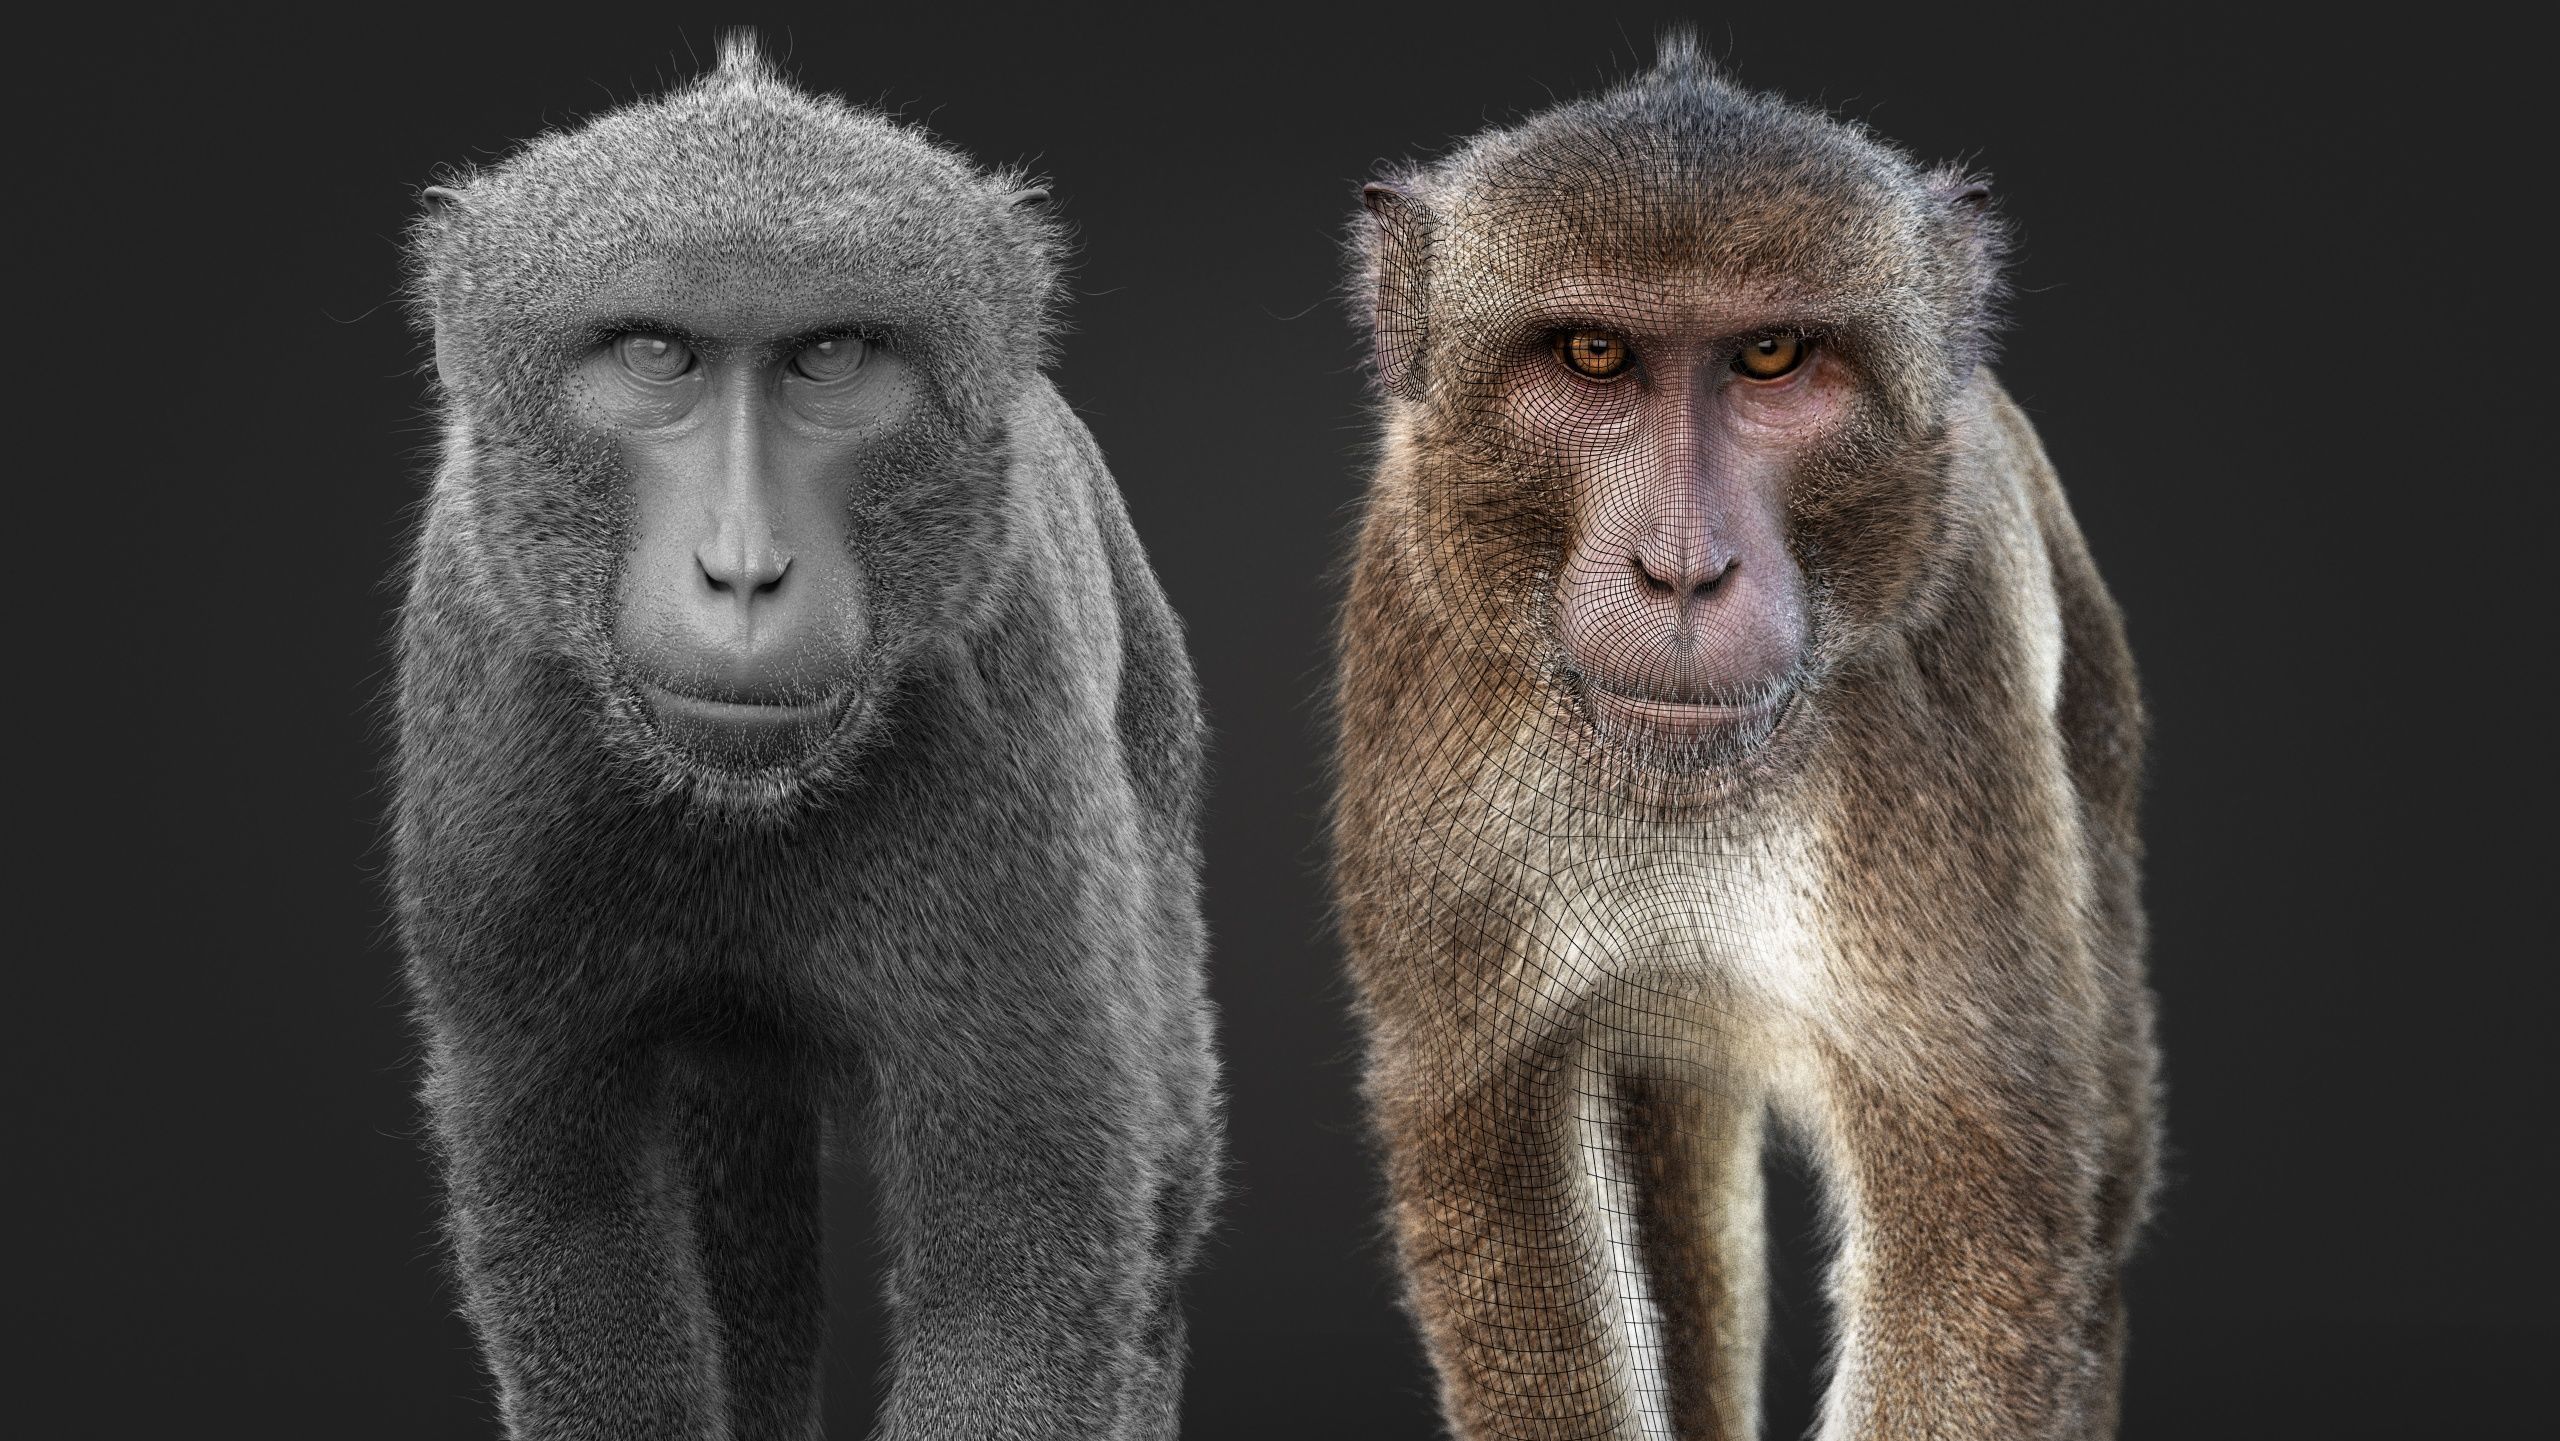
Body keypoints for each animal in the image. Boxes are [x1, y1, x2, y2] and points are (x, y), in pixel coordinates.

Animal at [391, 36, 1218, 1441]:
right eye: (654, 354)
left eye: (830, 357)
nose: (742, 569)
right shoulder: (494, 752)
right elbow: (568, 1215)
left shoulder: (1007, 733)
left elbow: (1019, 1266)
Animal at [1331, 37, 2158, 1441]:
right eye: (1593, 355)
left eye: (1771, 355)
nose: (1681, 570)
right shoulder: (1418, 635)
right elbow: (1496, 1144)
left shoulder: (1937, 687)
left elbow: (1979, 1204)